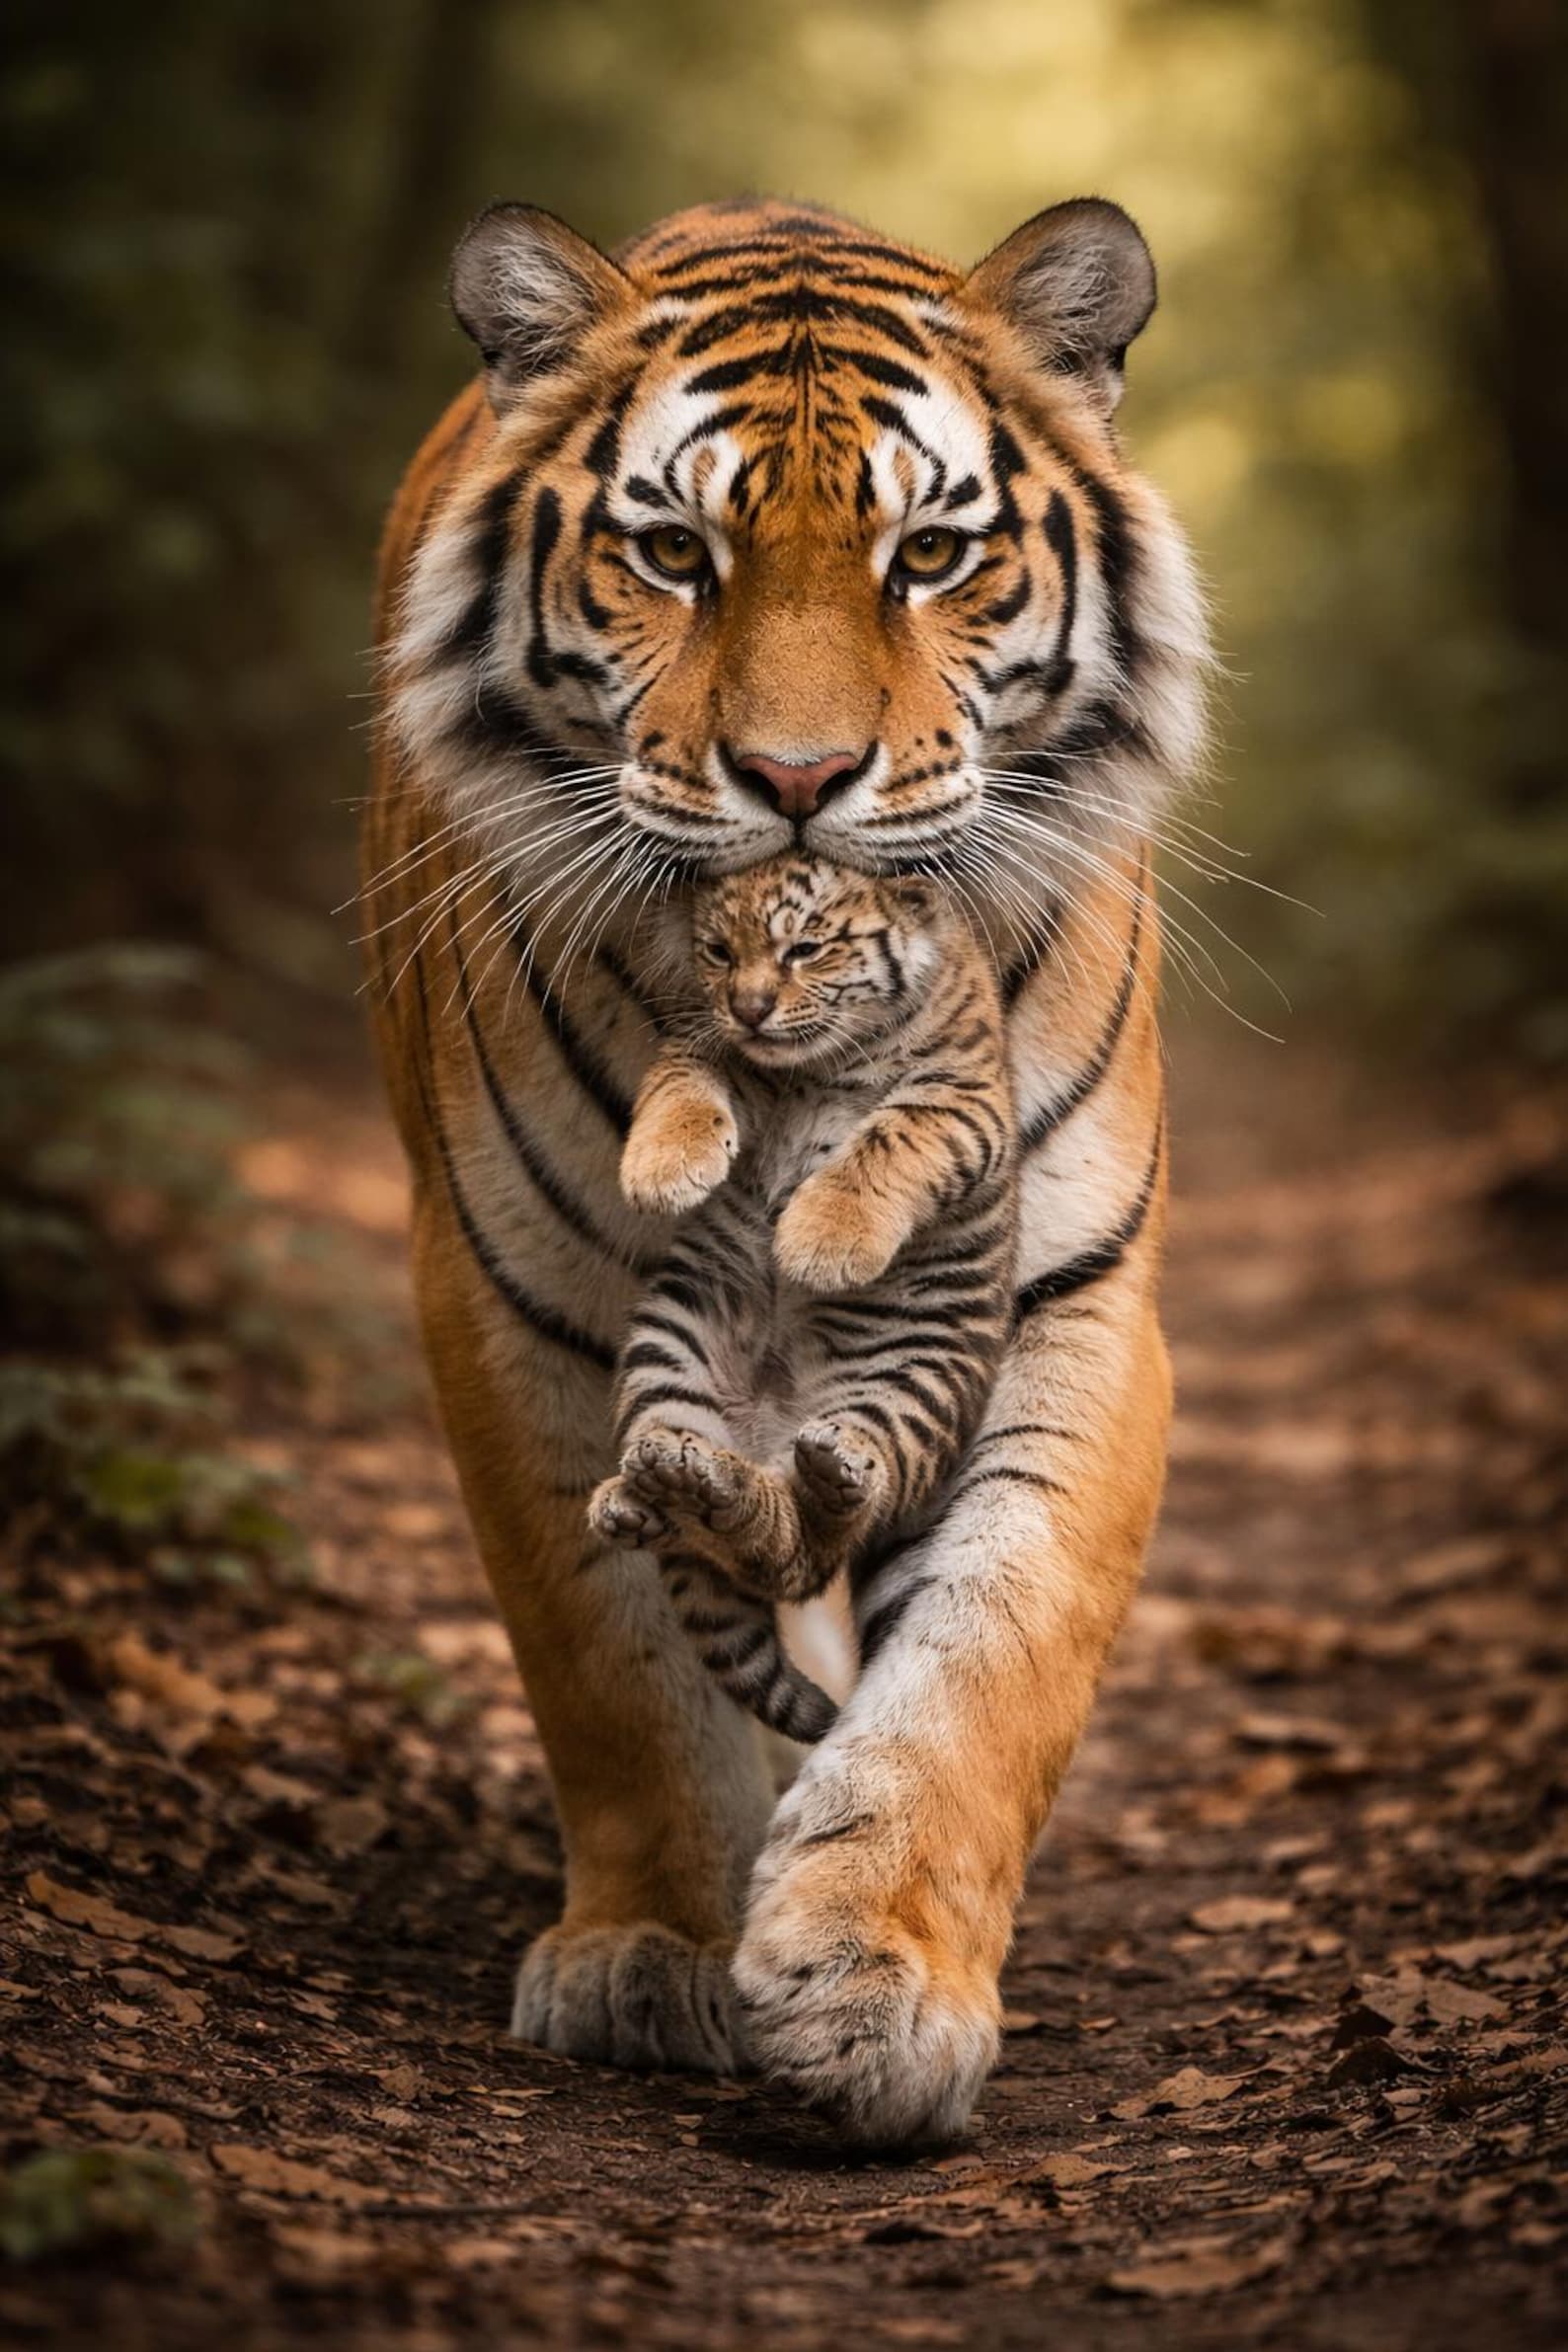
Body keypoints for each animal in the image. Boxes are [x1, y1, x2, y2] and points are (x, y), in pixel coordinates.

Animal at [588, 854, 1017, 1747]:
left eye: (805, 949)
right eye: (718, 952)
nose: (749, 1007)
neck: (812, 1067)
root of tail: (768, 1431)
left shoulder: (963, 1100)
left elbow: (889, 1136)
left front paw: (821, 1242)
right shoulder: (705, 1042)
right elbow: (679, 1075)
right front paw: (662, 1167)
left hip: (905, 1390)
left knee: (803, 1552)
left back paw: (819, 1475)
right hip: (670, 1343)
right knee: (733, 1537)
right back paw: (652, 1490)